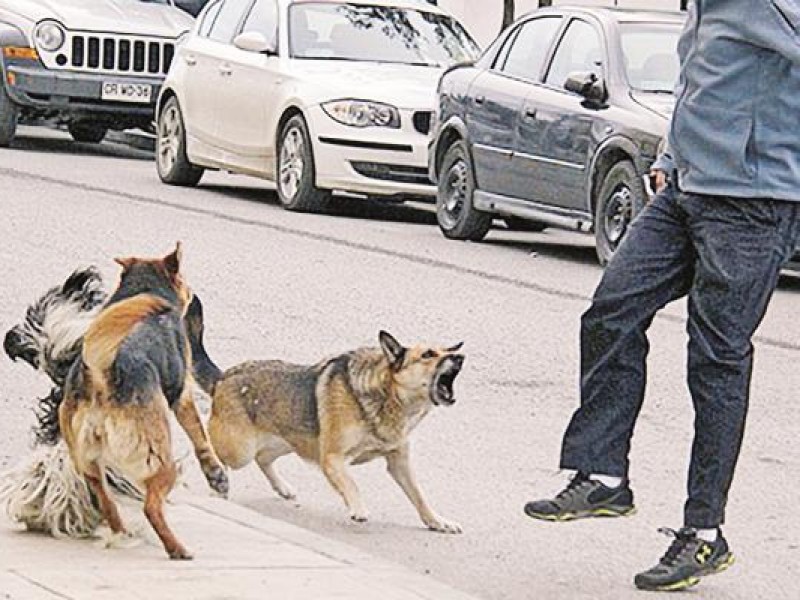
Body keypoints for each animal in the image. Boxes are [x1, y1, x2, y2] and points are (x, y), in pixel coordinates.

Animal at [57, 243, 223, 556]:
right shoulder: (183, 397)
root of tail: (101, 374)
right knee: (151, 507)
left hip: (86, 461)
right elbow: (200, 434)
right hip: (160, 460)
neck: (143, 288)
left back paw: (121, 531)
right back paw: (176, 548)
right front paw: (216, 474)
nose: (193, 294)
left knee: (105, 500)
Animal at [195, 324, 466, 536]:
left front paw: (437, 521)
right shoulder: (332, 458)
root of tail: (222, 378)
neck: (387, 395)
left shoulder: (399, 462)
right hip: (241, 450)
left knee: (263, 458)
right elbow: (351, 485)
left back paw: (282, 488)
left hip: (289, 441)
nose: (460, 357)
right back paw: (215, 481)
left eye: (449, 350)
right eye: (428, 354)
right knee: (210, 449)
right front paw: (357, 507)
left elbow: (419, 495)